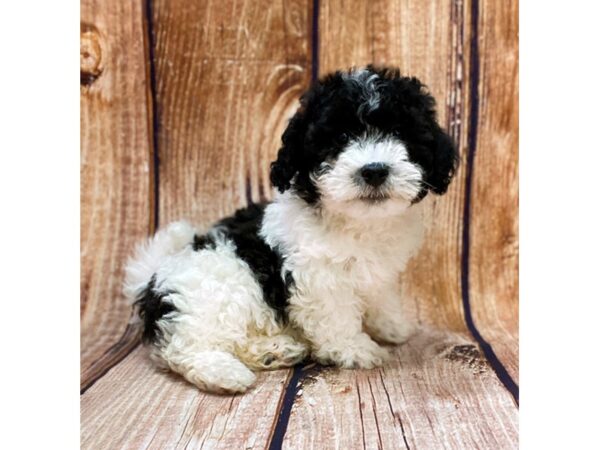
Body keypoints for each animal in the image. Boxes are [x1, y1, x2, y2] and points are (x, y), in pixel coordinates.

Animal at [124, 65, 458, 392]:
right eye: (341, 137)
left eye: (399, 133)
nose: (374, 170)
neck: (358, 222)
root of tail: (153, 279)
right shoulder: (317, 276)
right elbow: (336, 316)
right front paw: (356, 348)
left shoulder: (380, 271)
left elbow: (381, 295)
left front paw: (392, 326)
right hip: (216, 291)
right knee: (185, 347)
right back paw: (224, 372)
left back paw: (273, 352)